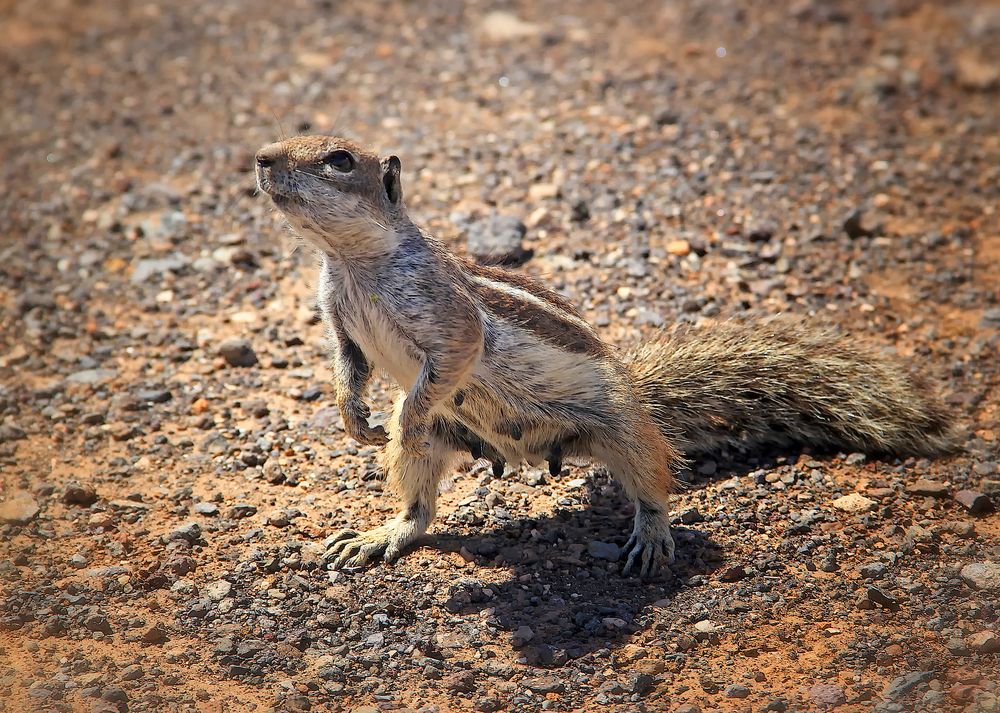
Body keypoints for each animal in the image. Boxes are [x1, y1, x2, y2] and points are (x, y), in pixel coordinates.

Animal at [252, 135, 952, 580]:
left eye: (339, 159)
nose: (259, 157)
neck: (351, 261)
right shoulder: (338, 319)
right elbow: (348, 366)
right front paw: (355, 418)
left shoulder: (448, 318)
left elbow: (450, 359)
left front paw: (402, 411)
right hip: (432, 452)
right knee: (420, 510)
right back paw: (381, 534)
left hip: (623, 426)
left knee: (653, 478)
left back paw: (652, 534)